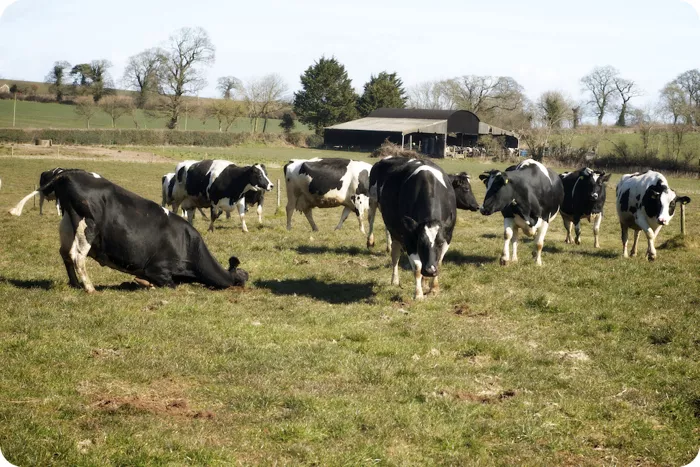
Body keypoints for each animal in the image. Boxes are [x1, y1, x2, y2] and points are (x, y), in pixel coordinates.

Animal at [35, 169, 249, 292]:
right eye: (241, 279)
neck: (189, 246)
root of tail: (68, 174)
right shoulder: (158, 269)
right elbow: (169, 284)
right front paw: (144, 283)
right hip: (87, 227)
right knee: (77, 257)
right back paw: (89, 288)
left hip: (67, 227)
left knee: (65, 254)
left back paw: (75, 284)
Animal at [377, 158, 457, 300]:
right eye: (420, 242)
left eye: (440, 242)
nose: (430, 270)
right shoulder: (409, 239)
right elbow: (417, 268)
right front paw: (418, 295)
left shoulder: (448, 237)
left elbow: (439, 262)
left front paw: (434, 289)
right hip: (394, 231)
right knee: (395, 254)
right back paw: (395, 280)